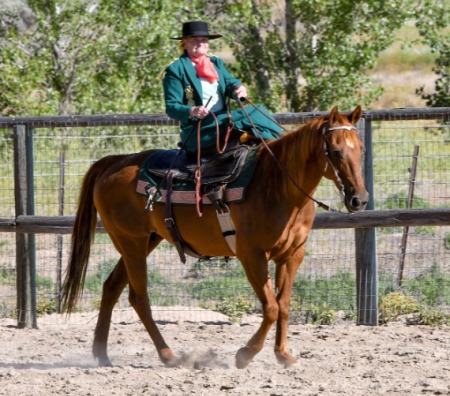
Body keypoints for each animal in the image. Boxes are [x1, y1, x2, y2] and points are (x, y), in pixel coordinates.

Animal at [60, 104, 370, 368]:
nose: (359, 199)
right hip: (131, 243)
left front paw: (283, 355)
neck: (279, 186)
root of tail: (115, 163)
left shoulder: (292, 255)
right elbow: (270, 307)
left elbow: (283, 305)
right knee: (139, 298)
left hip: (144, 242)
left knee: (112, 287)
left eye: (362, 149)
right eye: (336, 151)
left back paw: (102, 355)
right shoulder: (252, 256)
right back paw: (169, 356)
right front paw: (245, 354)